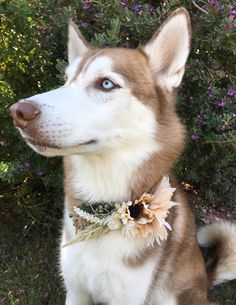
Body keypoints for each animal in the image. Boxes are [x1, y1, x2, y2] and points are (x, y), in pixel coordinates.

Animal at [10, 7, 235, 304]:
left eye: (106, 84)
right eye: (67, 81)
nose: (18, 112)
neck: (102, 210)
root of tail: (204, 281)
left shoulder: (127, 295)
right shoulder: (75, 290)